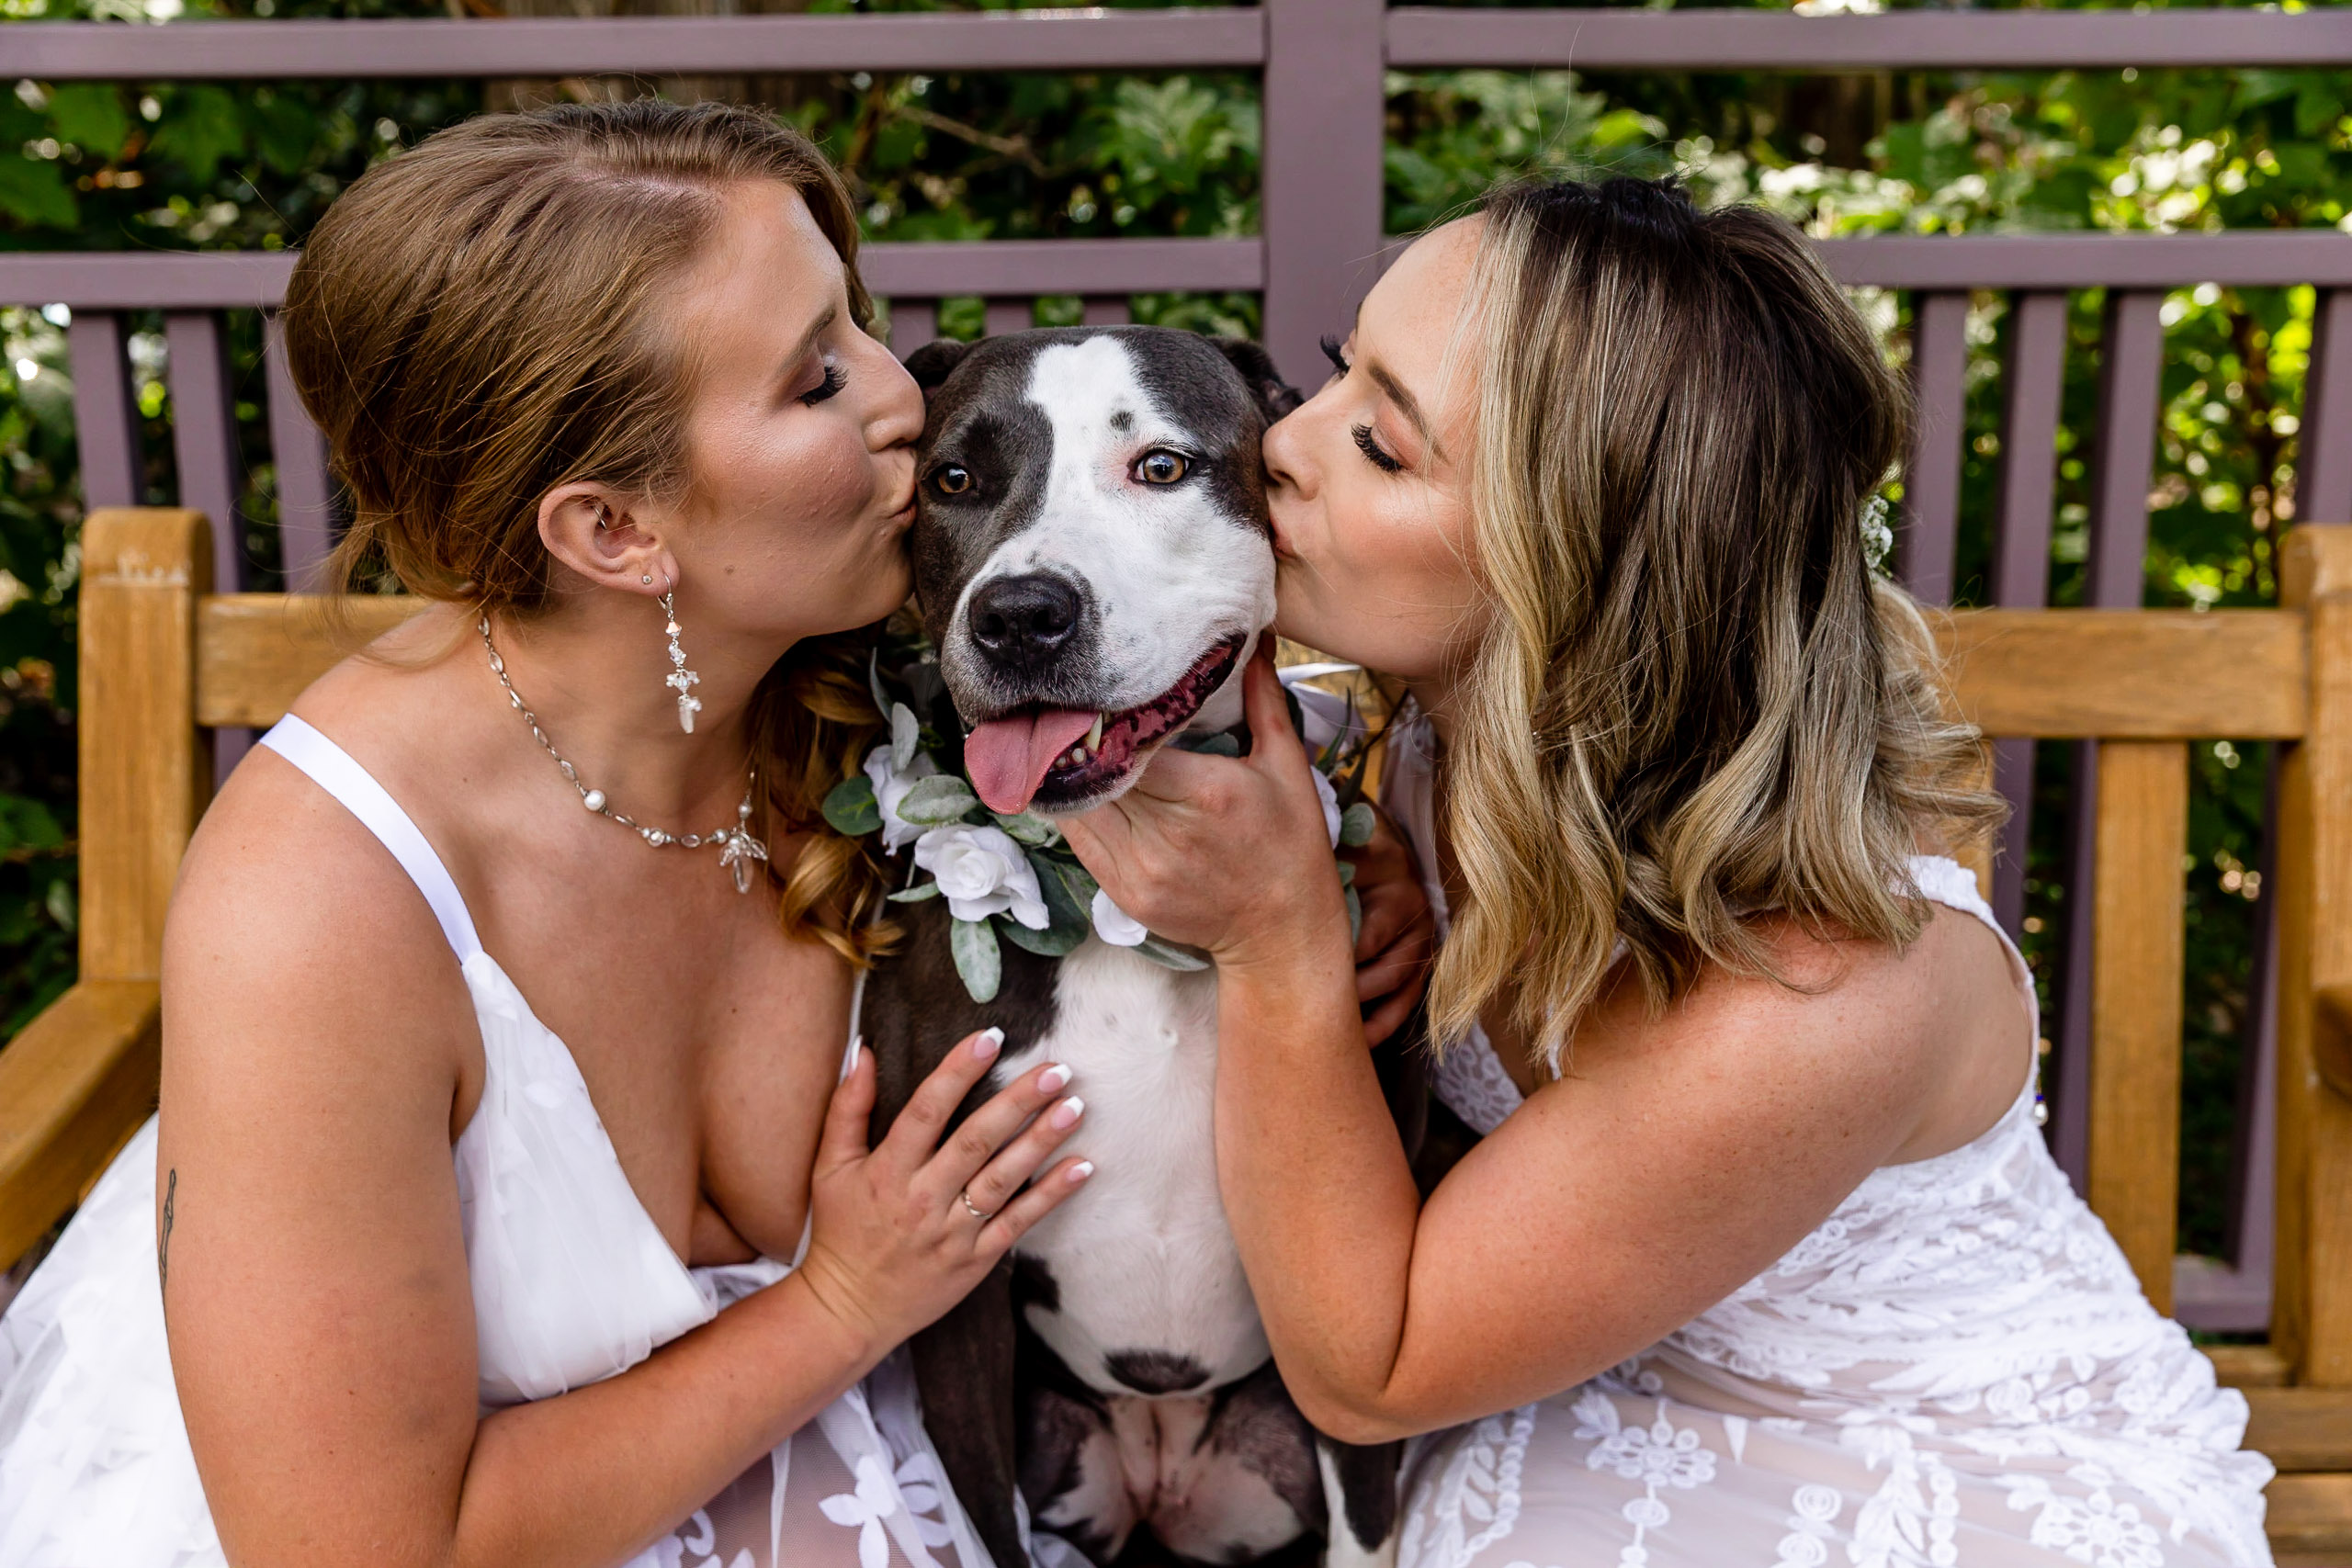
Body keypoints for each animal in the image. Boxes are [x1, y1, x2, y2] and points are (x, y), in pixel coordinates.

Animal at [858, 326, 1433, 1568]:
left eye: (1161, 467)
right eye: (953, 479)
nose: (1018, 615)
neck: (1137, 924)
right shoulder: (952, 1282)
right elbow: (989, 1533)